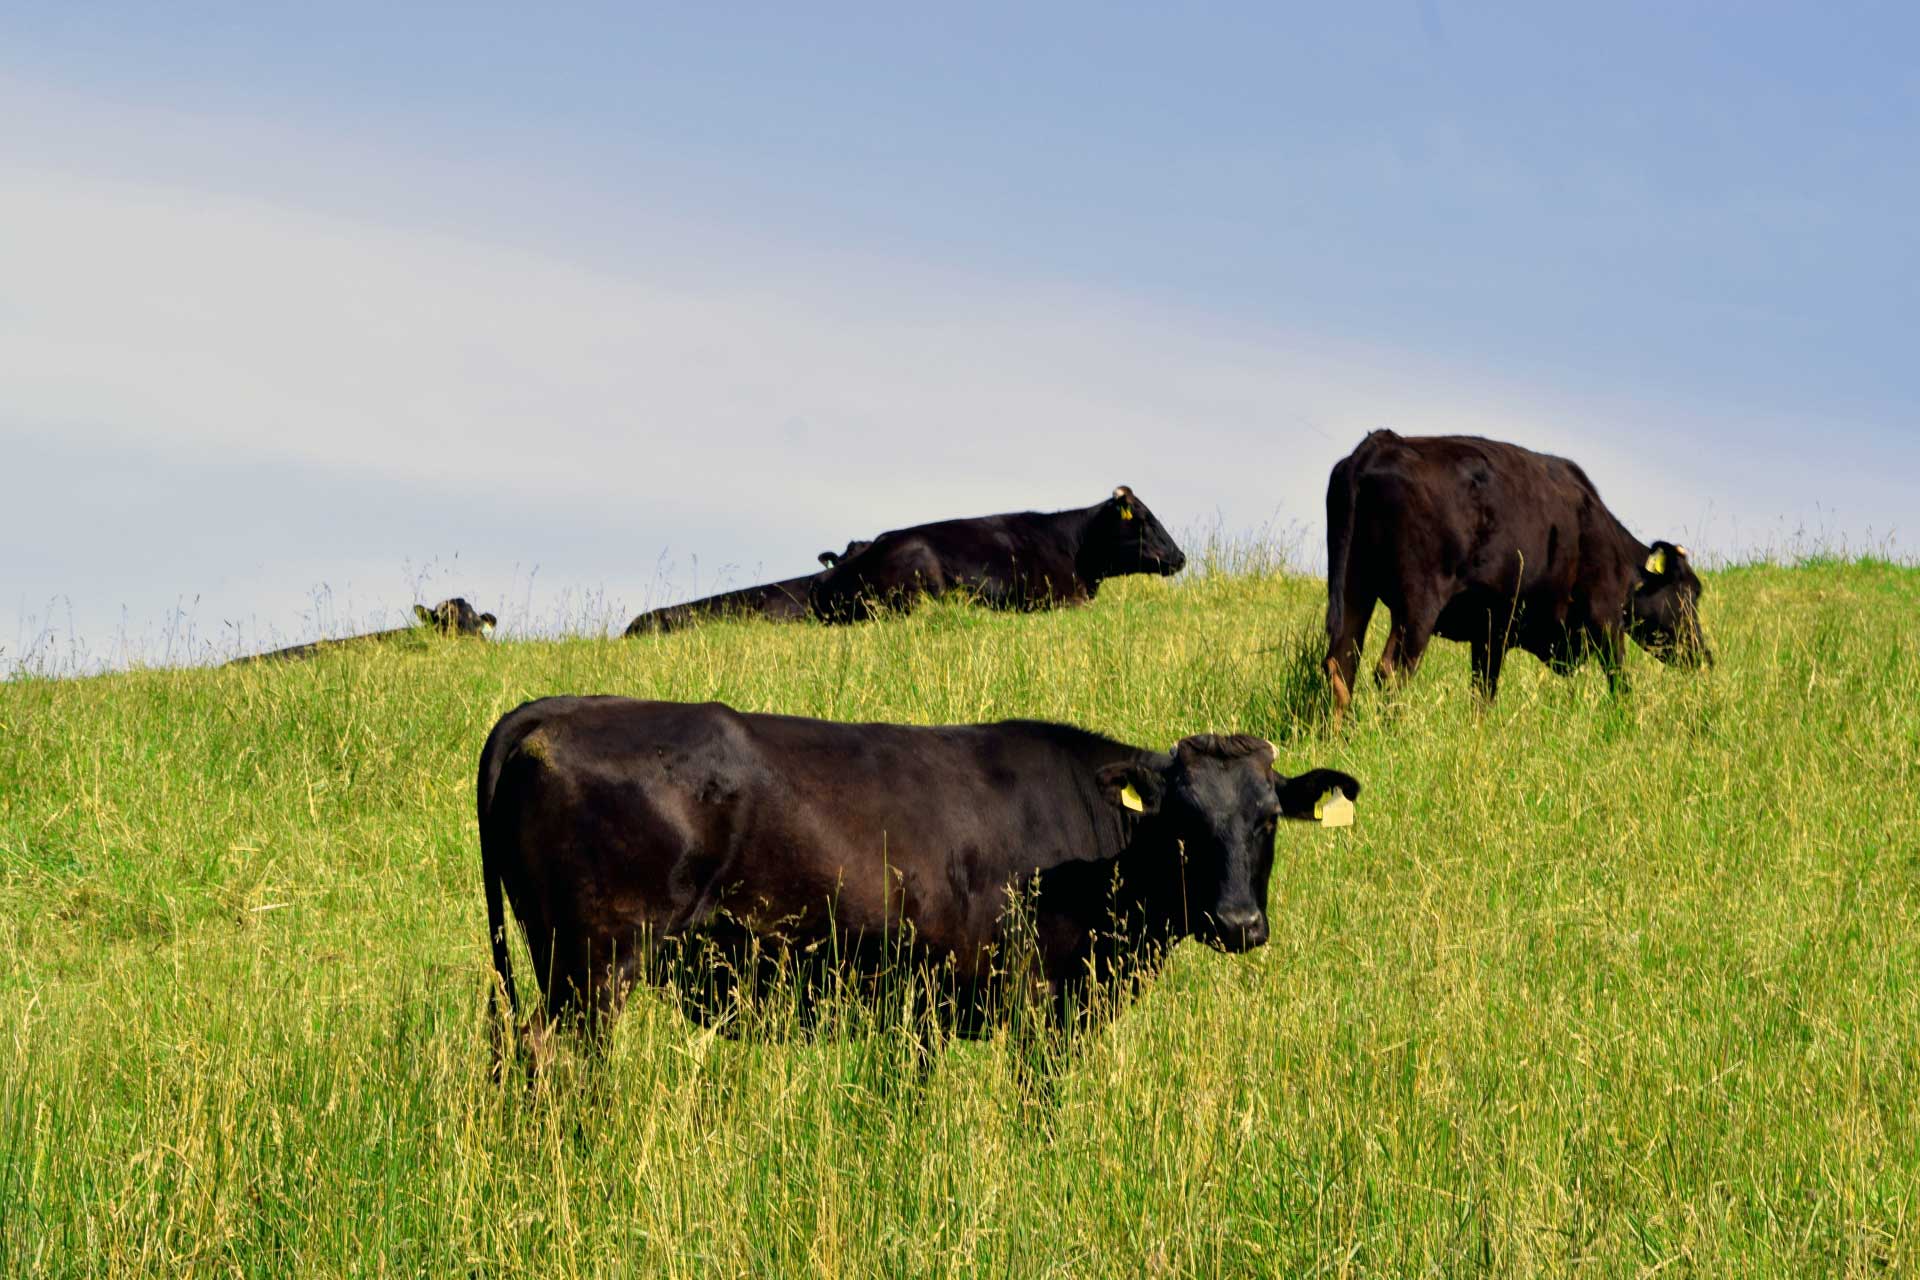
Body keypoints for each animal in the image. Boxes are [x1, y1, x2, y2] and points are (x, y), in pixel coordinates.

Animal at [472, 694, 1359, 1059]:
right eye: (1182, 822)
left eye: (1267, 819)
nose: (1239, 924)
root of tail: (563, 708)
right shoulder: (1037, 1003)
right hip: (593, 966)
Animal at [1320, 427, 1712, 710]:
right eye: (1690, 593)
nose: (1703, 656)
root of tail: (1382, 443)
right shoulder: (1605, 615)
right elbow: (1619, 677)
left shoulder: (1491, 628)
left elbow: (1483, 692)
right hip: (1418, 603)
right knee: (1391, 671)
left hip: (1356, 588)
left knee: (1341, 665)